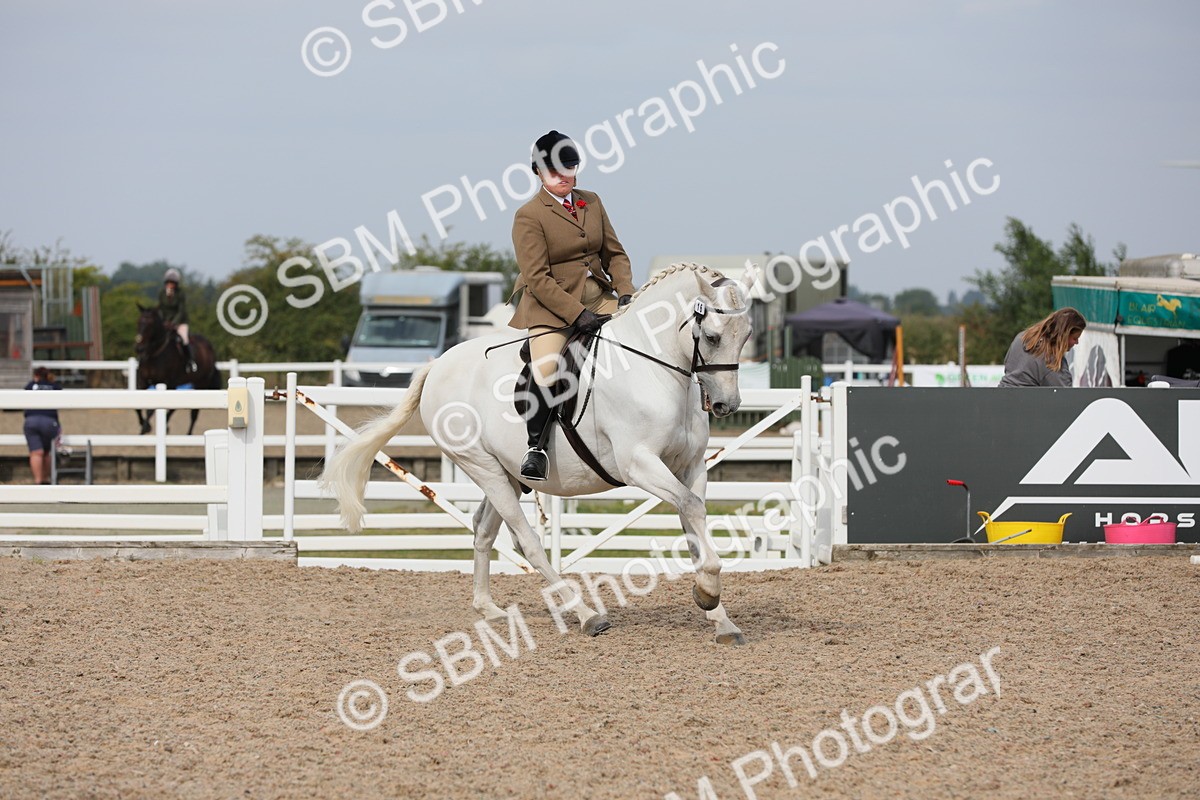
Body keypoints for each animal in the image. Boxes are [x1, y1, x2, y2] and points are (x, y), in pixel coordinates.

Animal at [134, 305, 221, 435]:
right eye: (139, 322)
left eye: (150, 324)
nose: (139, 348)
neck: (155, 353)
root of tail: (210, 349)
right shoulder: (143, 381)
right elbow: (138, 406)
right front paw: (144, 426)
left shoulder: (165, 383)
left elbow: (152, 409)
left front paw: (145, 428)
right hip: (177, 384)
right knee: (174, 407)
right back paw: (166, 425)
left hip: (200, 384)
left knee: (194, 412)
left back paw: (188, 434)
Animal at [322, 263, 757, 645]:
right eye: (712, 337)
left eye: (747, 335)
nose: (726, 405)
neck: (654, 370)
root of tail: (438, 365)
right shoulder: (640, 464)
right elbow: (692, 508)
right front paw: (709, 592)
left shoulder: (690, 466)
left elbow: (693, 521)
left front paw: (718, 615)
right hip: (481, 466)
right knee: (527, 541)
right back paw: (586, 614)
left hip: (506, 473)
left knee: (484, 529)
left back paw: (489, 609)